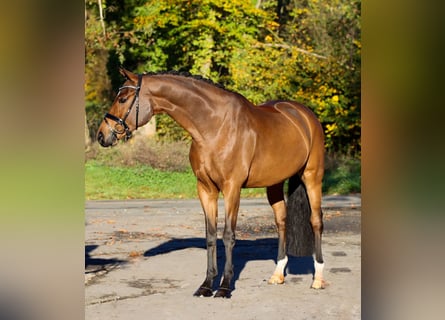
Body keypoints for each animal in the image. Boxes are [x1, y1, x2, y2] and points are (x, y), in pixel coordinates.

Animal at [97, 69, 324, 298]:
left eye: (122, 99)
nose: (101, 135)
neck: (215, 127)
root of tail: (305, 115)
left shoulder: (232, 188)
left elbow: (228, 235)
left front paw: (224, 287)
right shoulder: (206, 189)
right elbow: (211, 236)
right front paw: (206, 285)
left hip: (312, 177)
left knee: (315, 221)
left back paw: (318, 278)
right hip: (274, 184)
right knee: (281, 221)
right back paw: (278, 274)